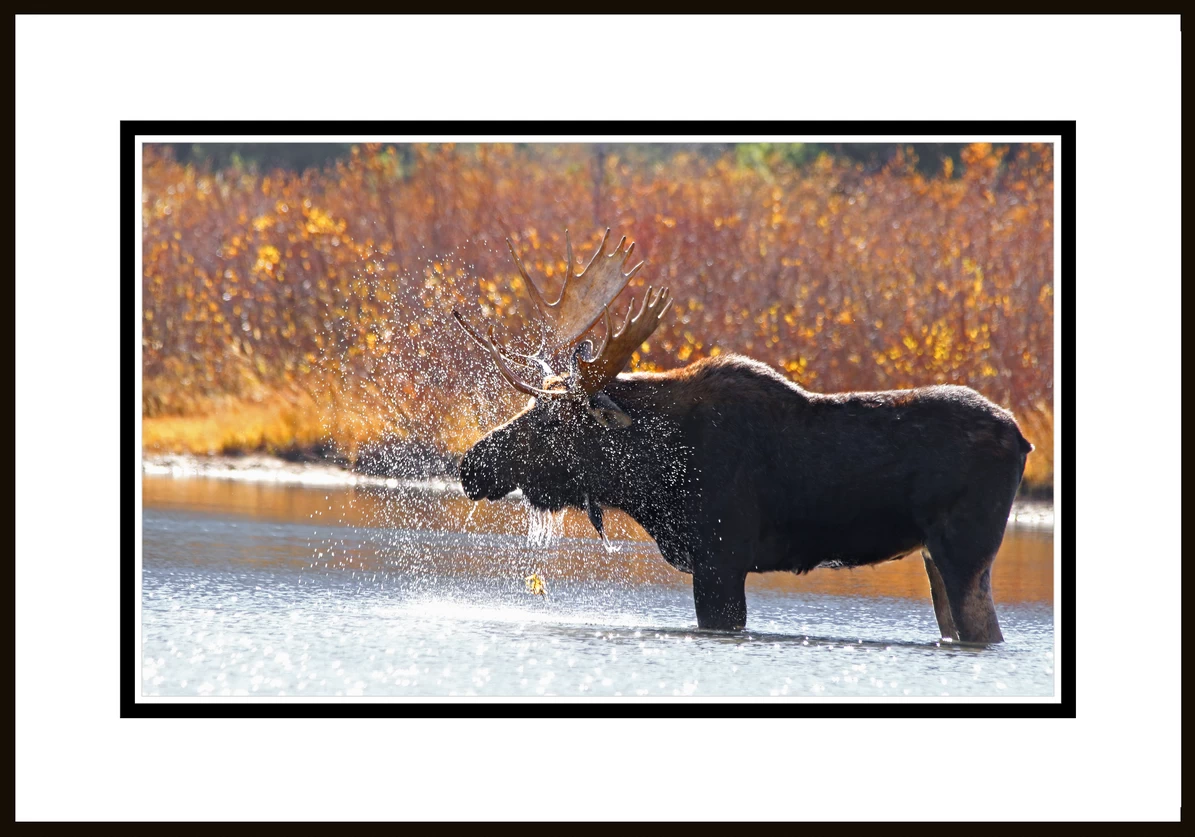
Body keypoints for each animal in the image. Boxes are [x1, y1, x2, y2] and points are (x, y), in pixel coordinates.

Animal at [454, 229, 1032, 643]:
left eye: (551, 420)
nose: (471, 463)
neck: (651, 478)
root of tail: (1023, 438)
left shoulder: (721, 558)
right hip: (935, 556)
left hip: (965, 551)